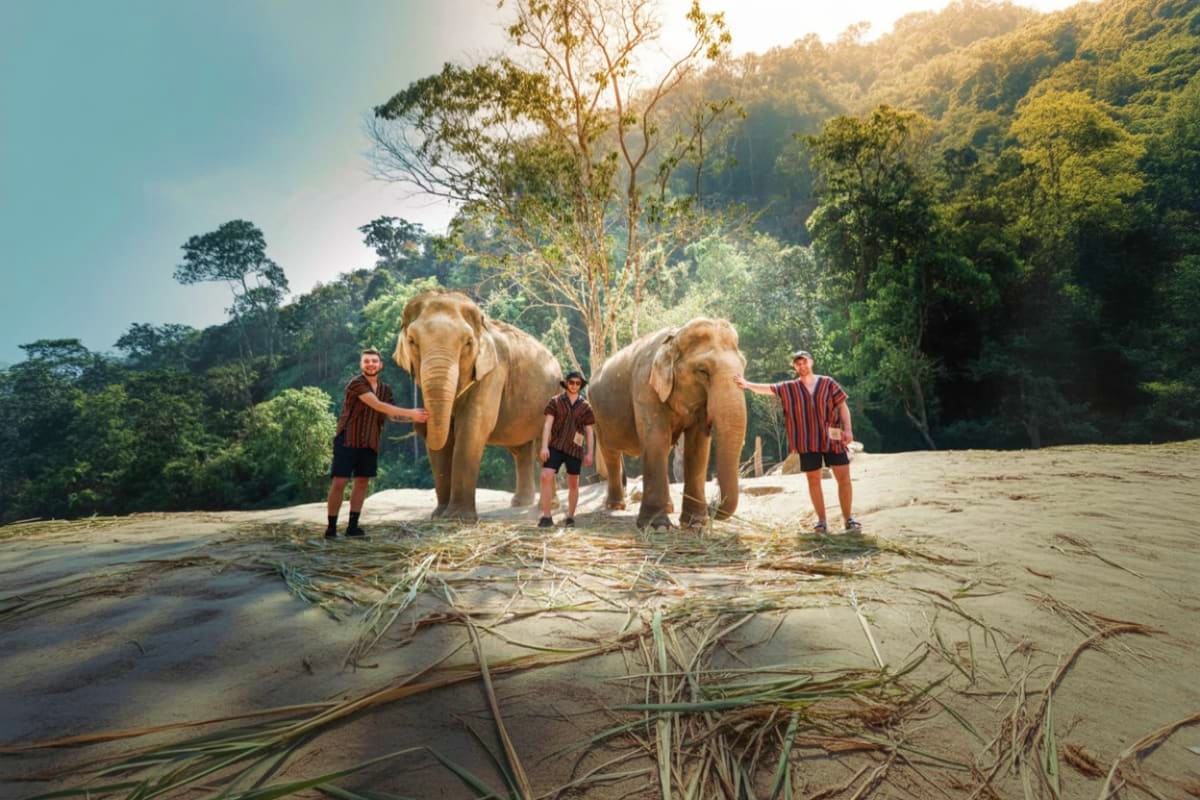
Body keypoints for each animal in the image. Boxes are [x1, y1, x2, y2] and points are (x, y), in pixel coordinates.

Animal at [393, 290, 562, 520]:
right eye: (412, 341)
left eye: (468, 343)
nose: (419, 421)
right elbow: (444, 439)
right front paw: (439, 515)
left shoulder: (494, 371)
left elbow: (473, 426)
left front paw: (457, 518)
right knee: (520, 449)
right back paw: (520, 503)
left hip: (554, 394)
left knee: (542, 446)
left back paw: (547, 506)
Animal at [590, 317, 747, 529]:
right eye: (702, 371)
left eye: (743, 366)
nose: (713, 504)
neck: (674, 337)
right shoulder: (645, 386)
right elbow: (656, 438)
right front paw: (657, 526)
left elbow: (697, 446)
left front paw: (696, 524)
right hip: (598, 414)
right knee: (611, 454)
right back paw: (616, 507)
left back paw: (669, 508)